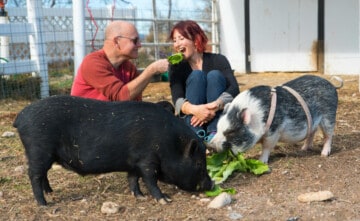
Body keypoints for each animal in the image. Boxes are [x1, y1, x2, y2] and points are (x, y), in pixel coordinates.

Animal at [12, 95, 212, 205]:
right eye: (199, 163)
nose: (211, 184)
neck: (170, 144)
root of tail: (20, 118)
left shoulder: (134, 162)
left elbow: (133, 179)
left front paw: (139, 197)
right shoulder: (147, 160)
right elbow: (150, 180)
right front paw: (165, 200)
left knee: (43, 175)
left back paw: (51, 192)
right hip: (39, 150)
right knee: (34, 175)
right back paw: (44, 204)